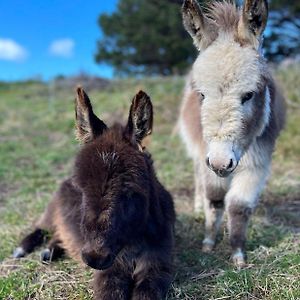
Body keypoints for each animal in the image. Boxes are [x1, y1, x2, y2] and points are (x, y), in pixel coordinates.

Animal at [14, 88, 176, 300]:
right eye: (81, 188)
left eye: (130, 191)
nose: (94, 258)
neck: (132, 242)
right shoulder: (110, 272)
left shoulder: (157, 267)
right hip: (50, 215)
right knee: (41, 229)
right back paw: (24, 250)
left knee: (59, 235)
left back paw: (49, 252)